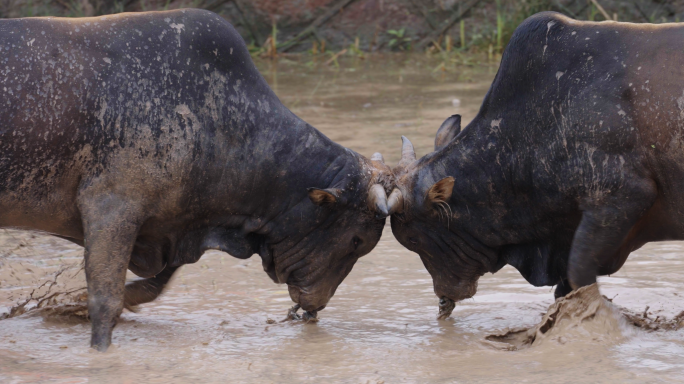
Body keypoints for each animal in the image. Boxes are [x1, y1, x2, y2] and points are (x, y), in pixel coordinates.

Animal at [0, 9, 398, 352]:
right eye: (357, 240)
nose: (315, 305)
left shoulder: (171, 229)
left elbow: (149, 287)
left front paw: (70, 306)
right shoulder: (111, 207)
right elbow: (105, 302)